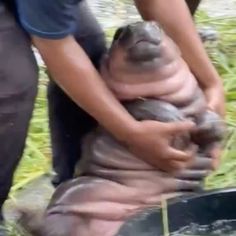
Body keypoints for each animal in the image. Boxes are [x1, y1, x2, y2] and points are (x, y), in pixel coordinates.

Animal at [18, 20, 225, 236]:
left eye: (157, 25)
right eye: (118, 33)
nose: (138, 26)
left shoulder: (199, 104)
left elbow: (211, 118)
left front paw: (205, 125)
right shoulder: (123, 110)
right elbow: (139, 105)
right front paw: (174, 117)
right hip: (73, 191)